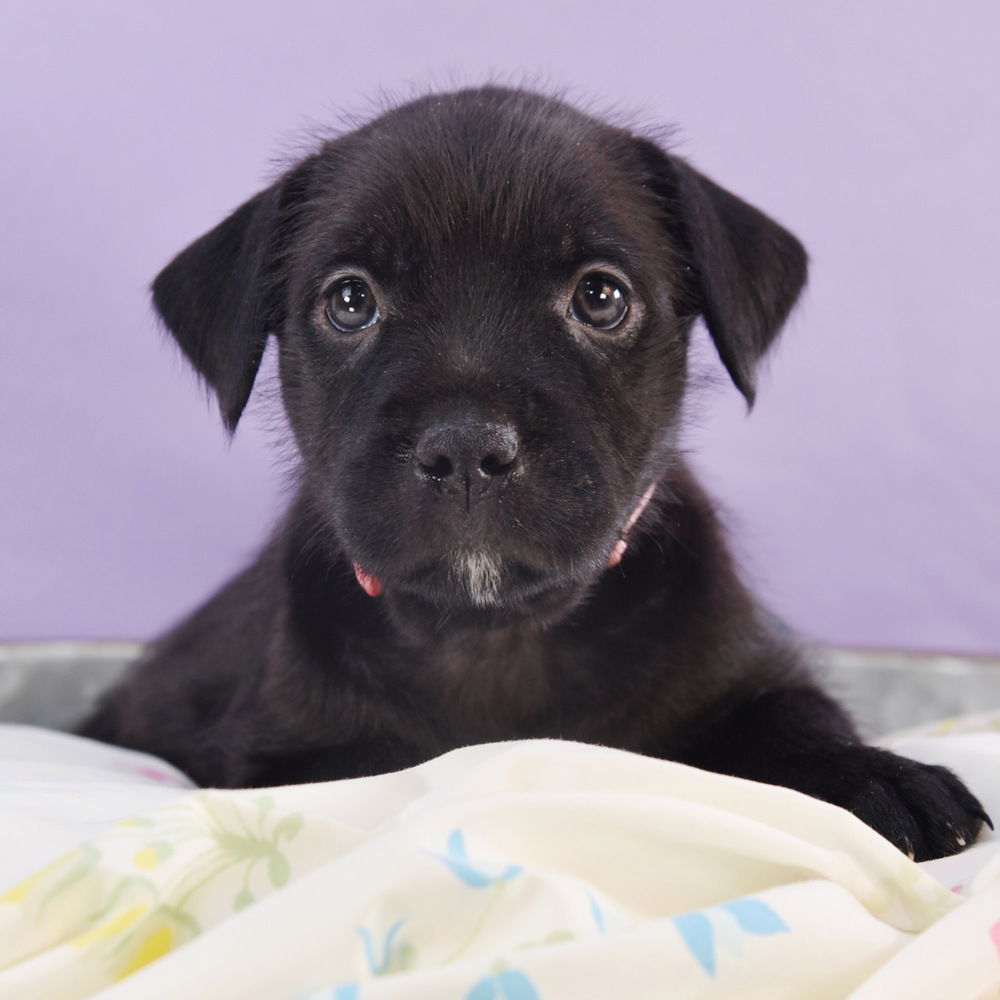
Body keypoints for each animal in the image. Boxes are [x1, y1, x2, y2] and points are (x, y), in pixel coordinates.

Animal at [84, 86, 984, 860]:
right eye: (349, 301)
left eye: (600, 297)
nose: (466, 448)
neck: (497, 633)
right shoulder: (282, 753)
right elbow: (392, 768)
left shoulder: (746, 675)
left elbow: (794, 720)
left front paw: (878, 779)